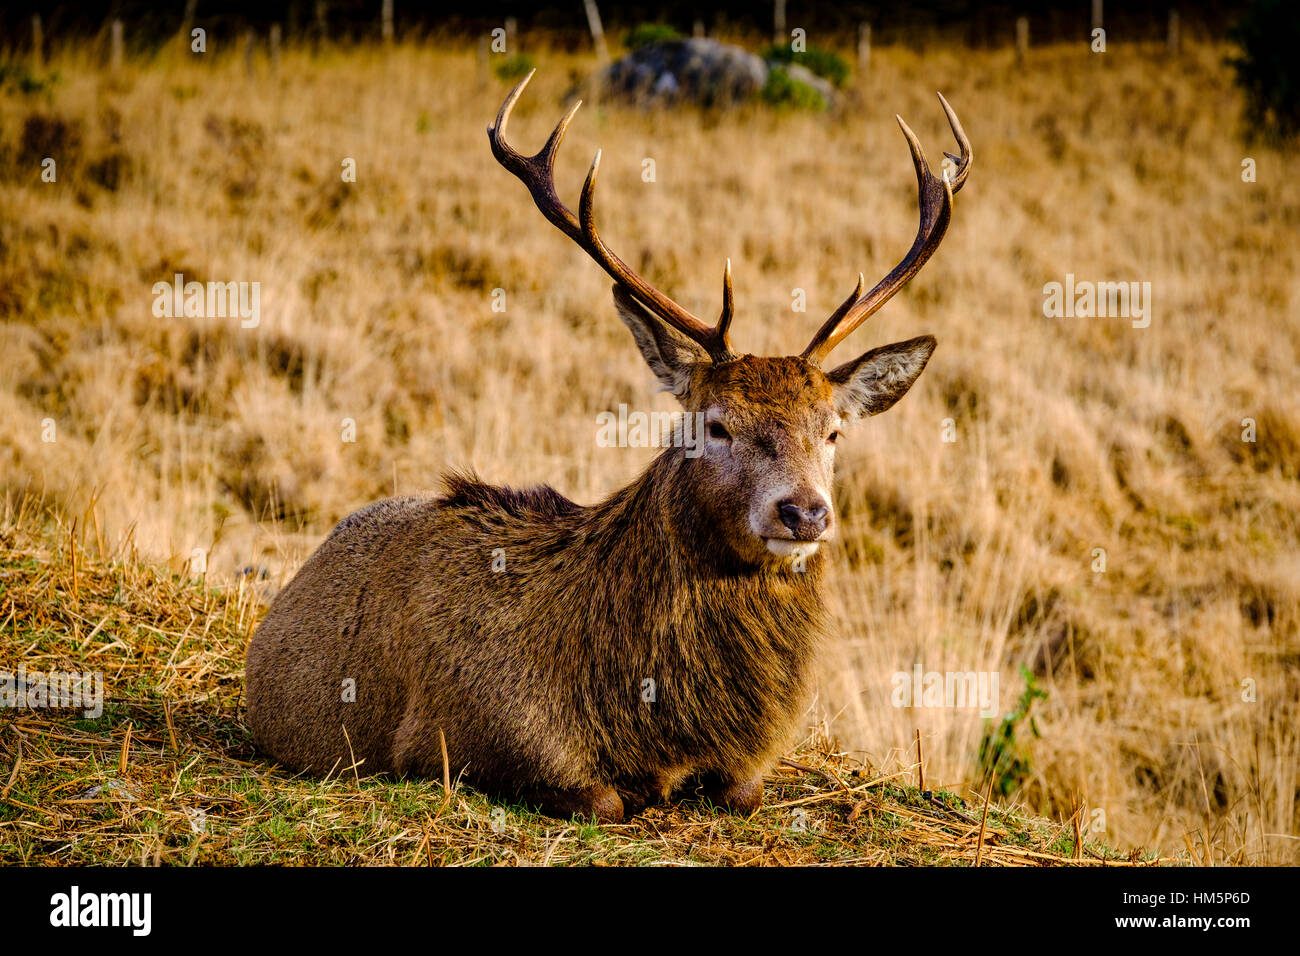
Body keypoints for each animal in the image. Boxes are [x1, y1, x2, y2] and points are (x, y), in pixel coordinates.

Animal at [245, 71, 971, 823]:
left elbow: (742, 790)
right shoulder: (448, 733)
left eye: (833, 430)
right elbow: (604, 800)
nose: (804, 513)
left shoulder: (746, 767)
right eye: (715, 425)